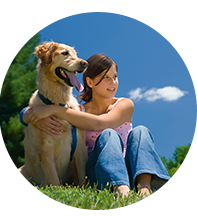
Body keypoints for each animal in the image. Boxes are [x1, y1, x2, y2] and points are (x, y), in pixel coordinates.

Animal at [18, 41, 87, 186]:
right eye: (65, 53)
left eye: (75, 54)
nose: (85, 63)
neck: (60, 103)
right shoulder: (46, 149)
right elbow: (53, 180)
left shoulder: (80, 147)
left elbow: (83, 177)